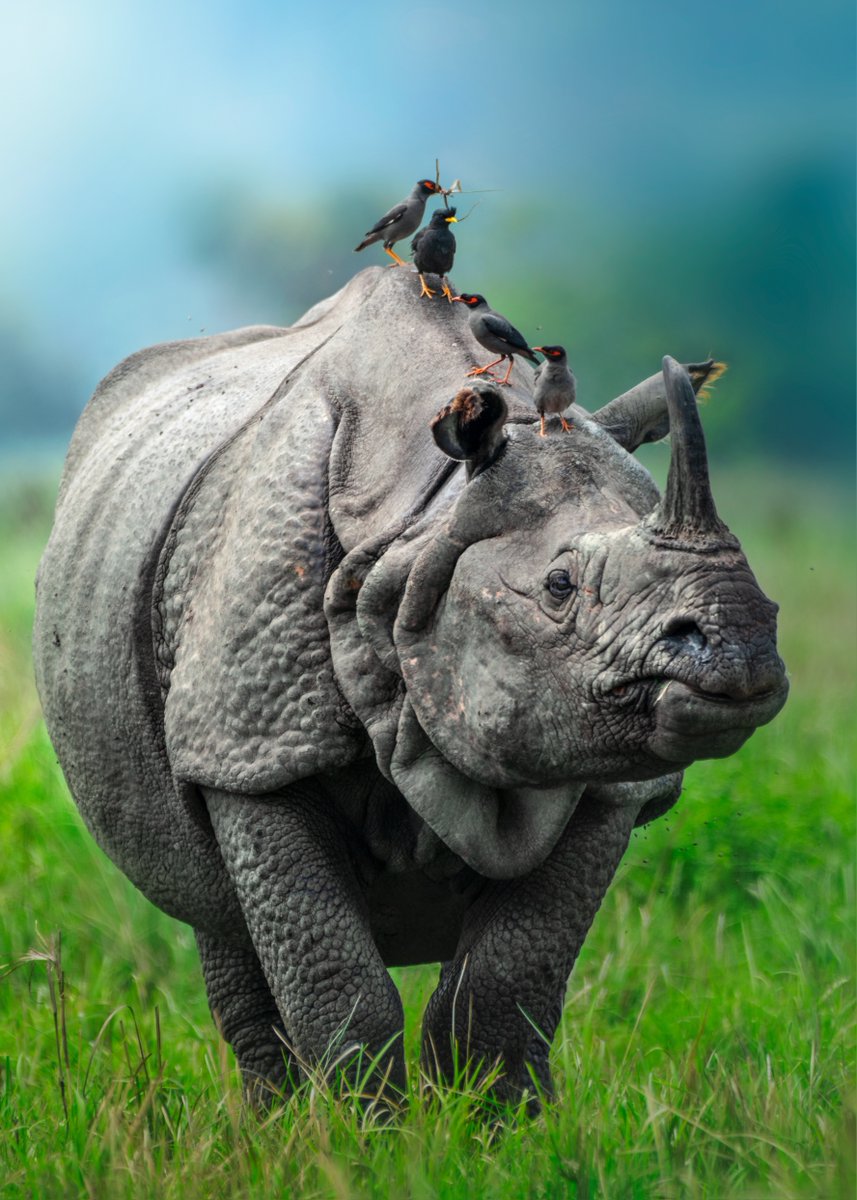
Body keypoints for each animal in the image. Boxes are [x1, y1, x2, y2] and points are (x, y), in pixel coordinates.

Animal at [33, 266, 788, 1106]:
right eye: (558, 586)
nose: (739, 643)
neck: (418, 527)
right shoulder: (250, 747)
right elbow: (337, 987)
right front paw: (357, 1130)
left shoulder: (604, 783)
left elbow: (501, 991)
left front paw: (498, 1125)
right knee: (221, 920)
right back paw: (275, 1123)